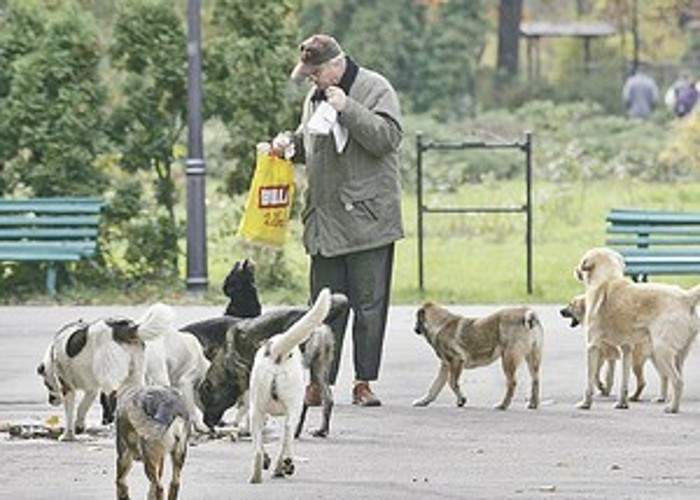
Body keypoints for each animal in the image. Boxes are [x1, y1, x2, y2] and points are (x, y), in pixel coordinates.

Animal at [249, 290, 330, 484]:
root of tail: (277, 350)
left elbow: (263, 443)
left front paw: (269, 462)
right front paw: (283, 465)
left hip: (256, 409)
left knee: (258, 450)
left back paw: (257, 476)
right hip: (294, 407)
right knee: (288, 433)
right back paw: (285, 464)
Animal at [412, 300, 544, 410]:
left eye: (417, 319)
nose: (414, 329)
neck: (440, 323)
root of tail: (528, 315)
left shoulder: (456, 361)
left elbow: (452, 383)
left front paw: (461, 400)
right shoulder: (446, 366)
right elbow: (435, 387)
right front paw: (424, 401)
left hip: (508, 359)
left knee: (512, 383)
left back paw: (503, 405)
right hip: (533, 359)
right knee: (535, 380)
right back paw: (533, 404)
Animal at [576, 247, 700, 414]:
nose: (576, 270)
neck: (607, 279)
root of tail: (686, 297)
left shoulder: (593, 347)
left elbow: (591, 379)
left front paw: (586, 403)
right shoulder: (627, 349)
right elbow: (624, 382)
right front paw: (622, 404)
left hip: (661, 351)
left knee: (678, 381)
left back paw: (672, 408)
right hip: (678, 355)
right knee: (677, 378)